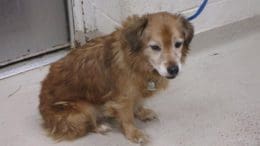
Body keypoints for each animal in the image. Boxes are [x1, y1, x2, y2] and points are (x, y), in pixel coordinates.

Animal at [38, 11, 193, 144]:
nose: (173, 69)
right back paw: (100, 126)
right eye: (155, 47)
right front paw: (133, 133)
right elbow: (127, 117)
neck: (137, 61)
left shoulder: (136, 90)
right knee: (87, 124)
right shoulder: (123, 98)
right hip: (83, 108)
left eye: (178, 44)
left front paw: (141, 112)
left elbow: (138, 102)